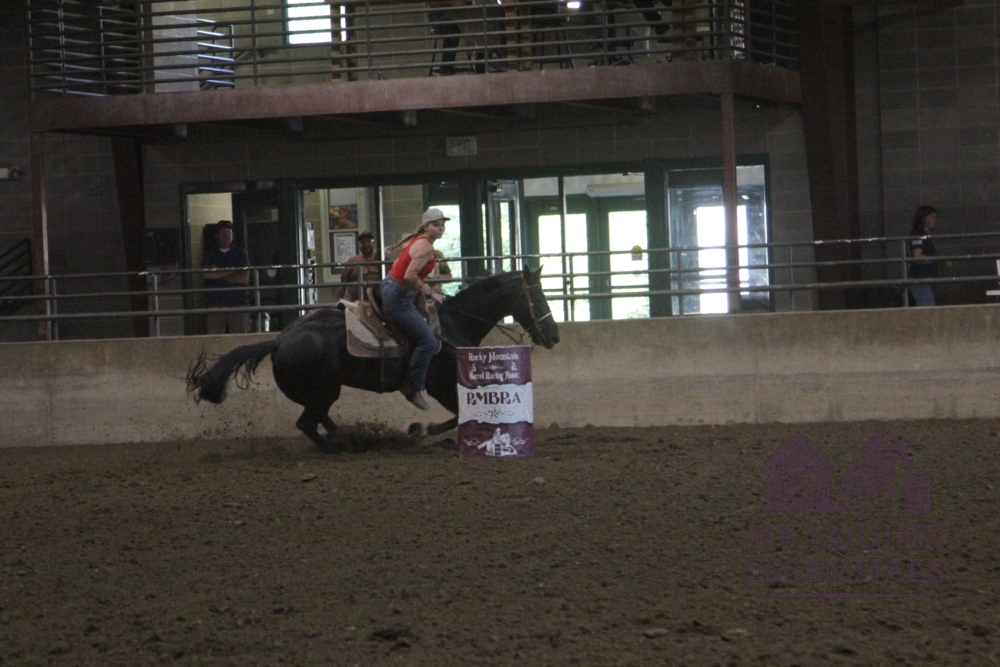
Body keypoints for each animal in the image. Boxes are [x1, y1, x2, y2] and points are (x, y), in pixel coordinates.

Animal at [186, 265, 560, 452]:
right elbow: (458, 416)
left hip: (321, 394)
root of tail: (277, 341)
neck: (453, 324)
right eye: (539, 297)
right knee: (307, 424)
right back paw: (342, 446)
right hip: (324, 391)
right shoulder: (440, 385)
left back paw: (351, 437)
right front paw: (419, 429)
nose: (554, 336)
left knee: (319, 421)